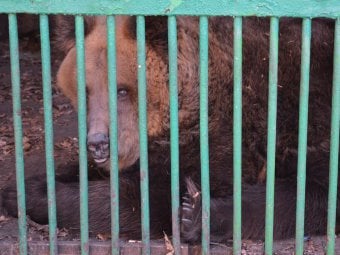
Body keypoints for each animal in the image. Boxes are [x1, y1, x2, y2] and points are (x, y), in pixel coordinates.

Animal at [0, 14, 338, 242]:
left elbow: (146, 198)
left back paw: (197, 214)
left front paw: (33, 194)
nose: (98, 142)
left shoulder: (223, 130)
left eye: (122, 90)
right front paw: (22, 184)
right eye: (85, 90)